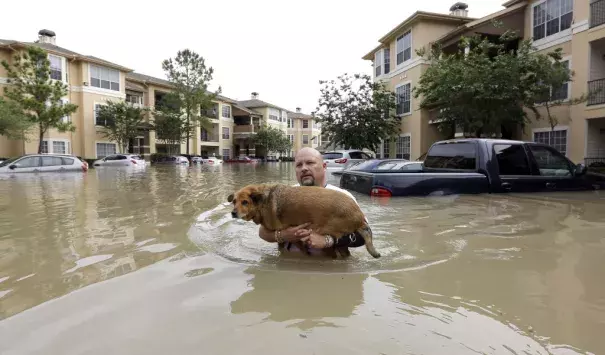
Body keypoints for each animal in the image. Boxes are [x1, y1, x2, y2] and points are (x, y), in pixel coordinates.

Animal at [229, 184, 380, 258]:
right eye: (234, 201)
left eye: (245, 202)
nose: (233, 213)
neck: (263, 202)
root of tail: (359, 216)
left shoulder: (292, 233)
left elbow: (299, 246)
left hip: (324, 233)